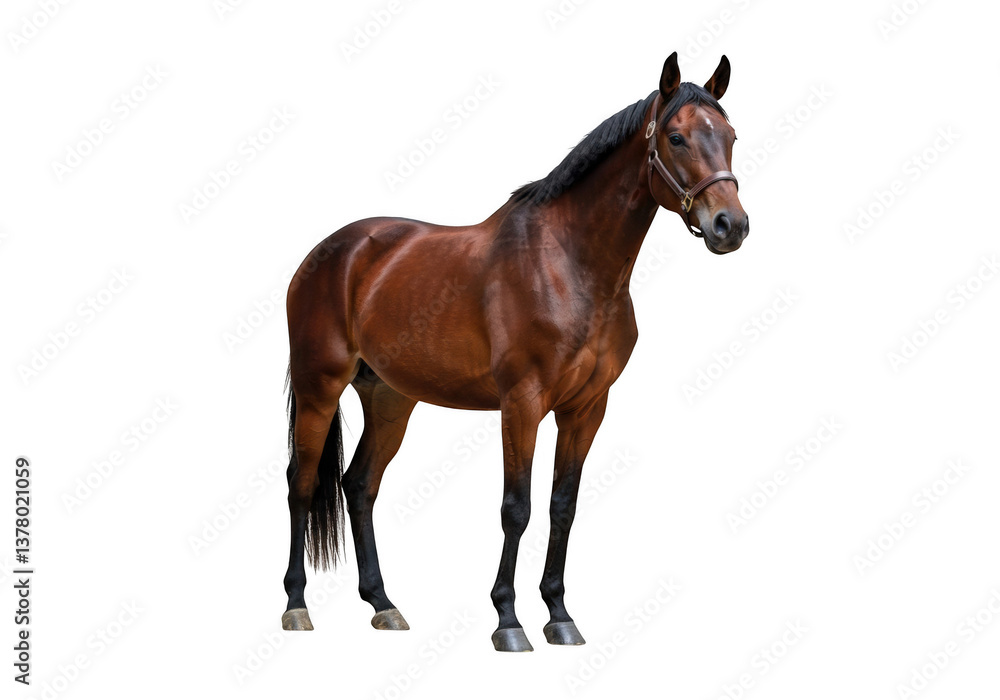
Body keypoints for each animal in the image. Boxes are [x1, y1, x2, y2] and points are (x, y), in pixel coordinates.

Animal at [280, 52, 748, 652]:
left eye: (730, 136)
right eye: (676, 137)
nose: (730, 225)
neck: (568, 263)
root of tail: (329, 252)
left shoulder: (586, 409)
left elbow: (561, 507)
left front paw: (559, 614)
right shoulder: (522, 403)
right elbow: (516, 508)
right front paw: (508, 620)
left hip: (390, 399)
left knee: (359, 485)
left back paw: (383, 604)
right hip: (319, 386)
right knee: (302, 483)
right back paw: (296, 605)